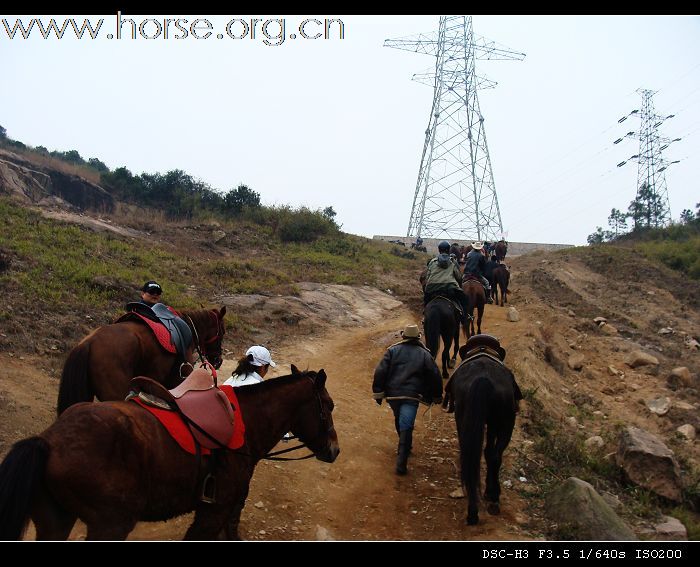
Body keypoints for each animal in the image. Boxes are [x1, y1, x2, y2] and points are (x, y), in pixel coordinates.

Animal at [0, 368, 340, 540]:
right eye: (329, 405)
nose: (335, 450)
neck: (243, 423)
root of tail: (48, 441)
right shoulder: (213, 512)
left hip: (56, 521)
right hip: (110, 525)